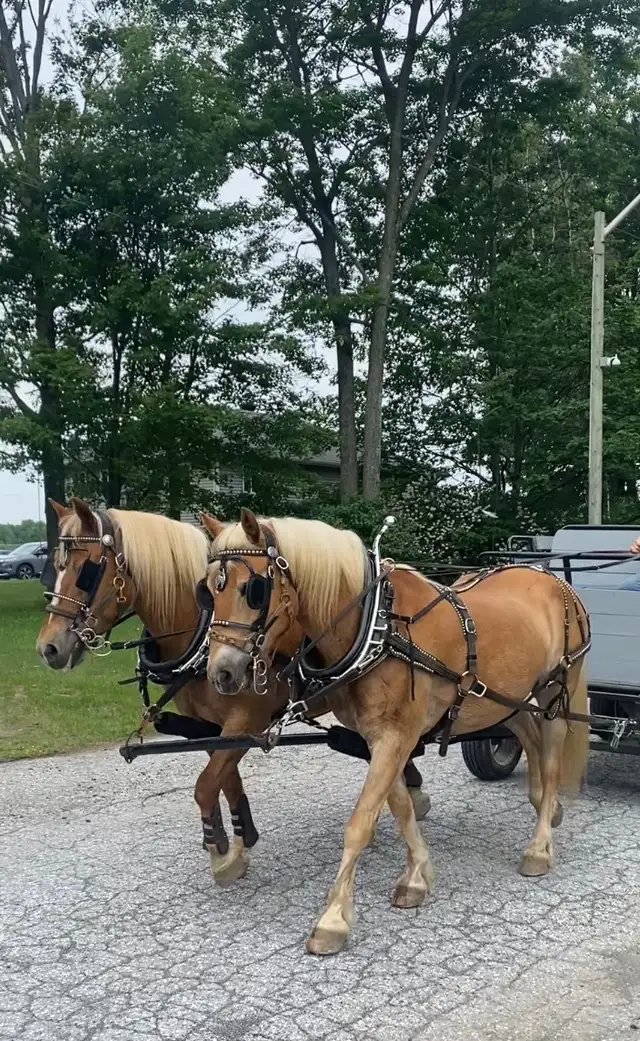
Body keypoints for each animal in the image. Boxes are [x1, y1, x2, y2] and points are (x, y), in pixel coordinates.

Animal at [198, 508, 590, 955]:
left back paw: (540, 844)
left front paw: (333, 918)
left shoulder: (394, 737)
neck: (377, 630)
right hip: (503, 697)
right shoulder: (381, 738)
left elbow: (361, 822)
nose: (222, 673)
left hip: (556, 691)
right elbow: (400, 808)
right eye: (208, 590)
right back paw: (546, 804)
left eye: (253, 589)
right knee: (526, 733)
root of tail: (550, 578)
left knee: (552, 759)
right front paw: (417, 875)